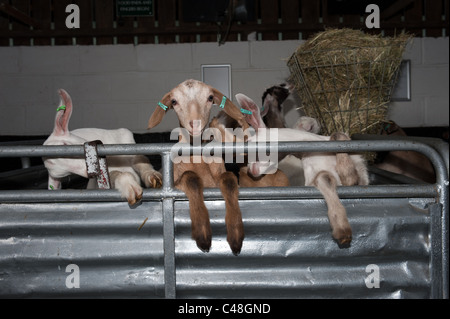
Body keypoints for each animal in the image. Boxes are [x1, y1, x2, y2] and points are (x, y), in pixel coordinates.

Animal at [147, 80, 248, 258]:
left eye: (210, 97)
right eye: (174, 101)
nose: (195, 123)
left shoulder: (218, 177)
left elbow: (228, 179)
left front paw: (236, 235)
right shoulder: (175, 184)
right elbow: (191, 178)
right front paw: (203, 234)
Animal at [236, 94, 370, 246]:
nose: (252, 171)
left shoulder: (363, 175)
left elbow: (338, 135)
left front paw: (348, 174)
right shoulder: (311, 179)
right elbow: (323, 178)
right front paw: (342, 230)